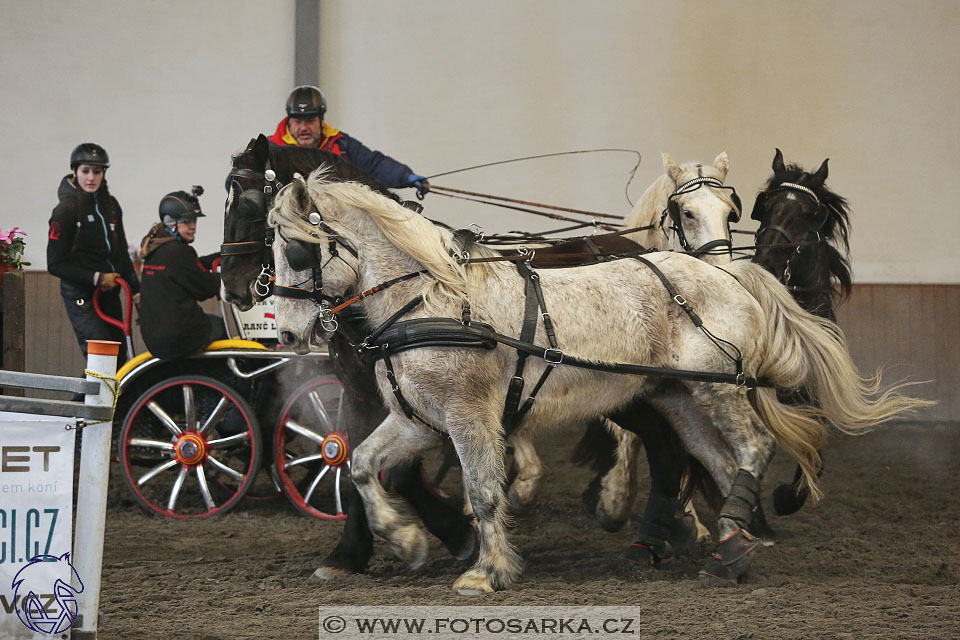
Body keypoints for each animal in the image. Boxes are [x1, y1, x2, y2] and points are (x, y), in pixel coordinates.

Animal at [219, 136, 474, 580]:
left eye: (250, 206)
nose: (230, 286)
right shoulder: (359, 390)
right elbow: (354, 455)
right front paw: (348, 552)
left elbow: (399, 471)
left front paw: (456, 534)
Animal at [266, 171, 928, 596]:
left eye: (296, 251)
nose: (289, 332)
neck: (432, 300)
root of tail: (730, 274)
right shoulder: (418, 417)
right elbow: (360, 464)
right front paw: (406, 542)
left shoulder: (469, 416)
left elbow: (483, 492)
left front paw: (485, 571)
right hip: (676, 397)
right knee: (713, 460)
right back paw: (727, 540)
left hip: (716, 388)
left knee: (752, 448)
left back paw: (725, 540)